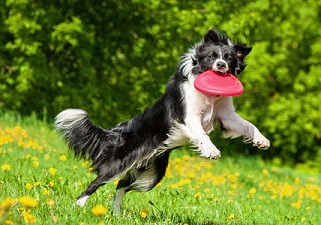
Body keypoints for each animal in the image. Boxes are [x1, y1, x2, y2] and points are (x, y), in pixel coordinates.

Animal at [54, 28, 268, 213]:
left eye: (229, 58)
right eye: (212, 57)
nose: (221, 65)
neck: (211, 98)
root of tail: (116, 133)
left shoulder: (226, 115)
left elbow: (247, 125)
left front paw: (261, 140)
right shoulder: (188, 116)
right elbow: (200, 133)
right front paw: (211, 150)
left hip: (151, 174)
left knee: (121, 186)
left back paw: (116, 214)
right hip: (118, 164)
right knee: (95, 183)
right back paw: (77, 207)